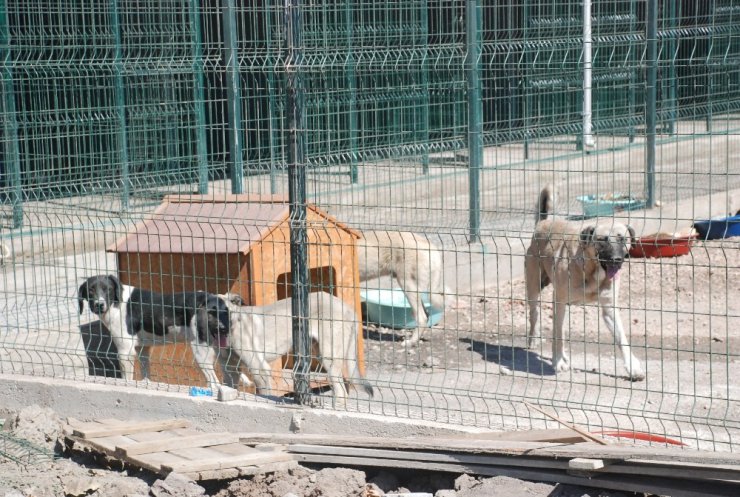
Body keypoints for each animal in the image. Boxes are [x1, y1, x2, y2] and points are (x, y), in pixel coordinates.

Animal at [77, 274, 230, 386]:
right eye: (90, 290)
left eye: (108, 289)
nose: (99, 305)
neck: (116, 303)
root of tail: (211, 299)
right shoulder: (142, 349)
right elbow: (146, 375)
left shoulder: (125, 352)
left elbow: (127, 379)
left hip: (201, 352)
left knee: (215, 383)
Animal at [217, 290, 372, 404]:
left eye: (224, 311)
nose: (220, 328)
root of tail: (348, 309)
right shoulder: (229, 370)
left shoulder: (259, 369)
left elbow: (266, 394)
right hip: (323, 356)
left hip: (329, 356)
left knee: (341, 392)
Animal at [524, 186, 644, 380]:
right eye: (602, 240)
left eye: (623, 239)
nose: (617, 260)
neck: (592, 271)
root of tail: (543, 223)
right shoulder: (559, 301)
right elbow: (558, 335)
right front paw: (558, 362)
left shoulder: (609, 308)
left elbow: (622, 339)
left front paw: (633, 367)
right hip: (534, 288)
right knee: (535, 314)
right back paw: (534, 339)